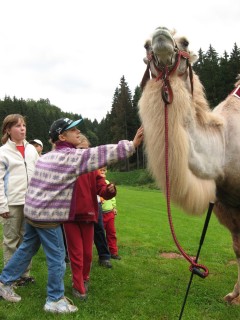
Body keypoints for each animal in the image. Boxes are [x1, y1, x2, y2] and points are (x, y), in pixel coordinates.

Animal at [138, 26, 240, 304]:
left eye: (185, 42)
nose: (161, 35)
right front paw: (233, 296)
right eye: (146, 44)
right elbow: (238, 250)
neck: (223, 145)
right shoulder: (228, 207)